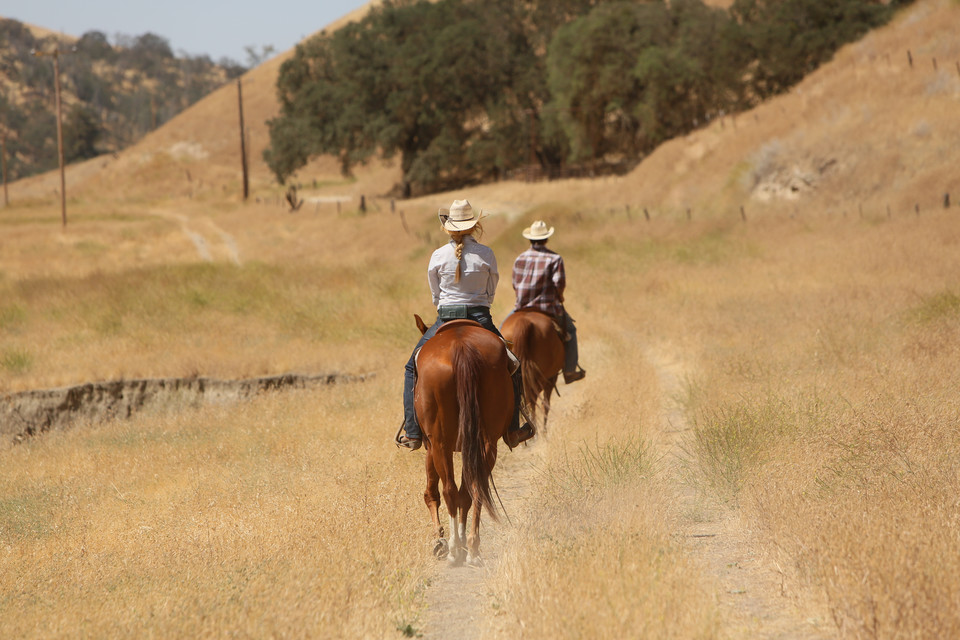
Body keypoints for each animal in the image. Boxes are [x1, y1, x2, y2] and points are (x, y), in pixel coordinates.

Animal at [414, 316, 512, 564]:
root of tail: (461, 347)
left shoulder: (431, 446)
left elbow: (431, 492)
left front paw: (439, 540)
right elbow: (464, 493)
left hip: (440, 443)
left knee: (449, 489)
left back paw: (453, 549)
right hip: (486, 443)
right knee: (475, 488)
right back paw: (472, 546)